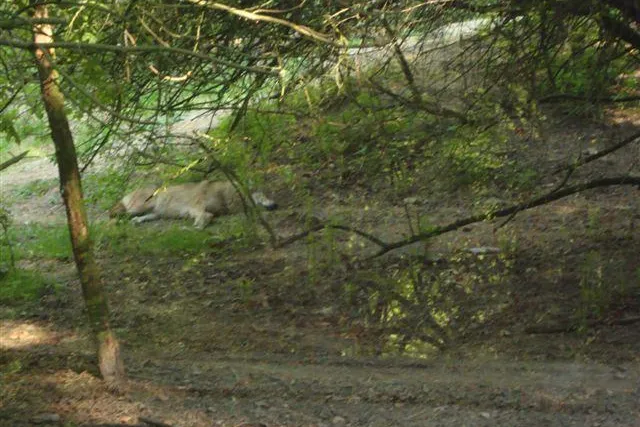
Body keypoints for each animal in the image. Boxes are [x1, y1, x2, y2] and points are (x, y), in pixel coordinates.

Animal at [109, 180, 277, 229]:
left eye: (268, 194)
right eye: (263, 195)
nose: (275, 205)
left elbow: (208, 216)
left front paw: (198, 225)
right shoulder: (195, 207)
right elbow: (206, 215)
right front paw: (198, 226)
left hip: (155, 213)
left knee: (138, 217)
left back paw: (135, 221)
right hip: (138, 207)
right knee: (112, 214)